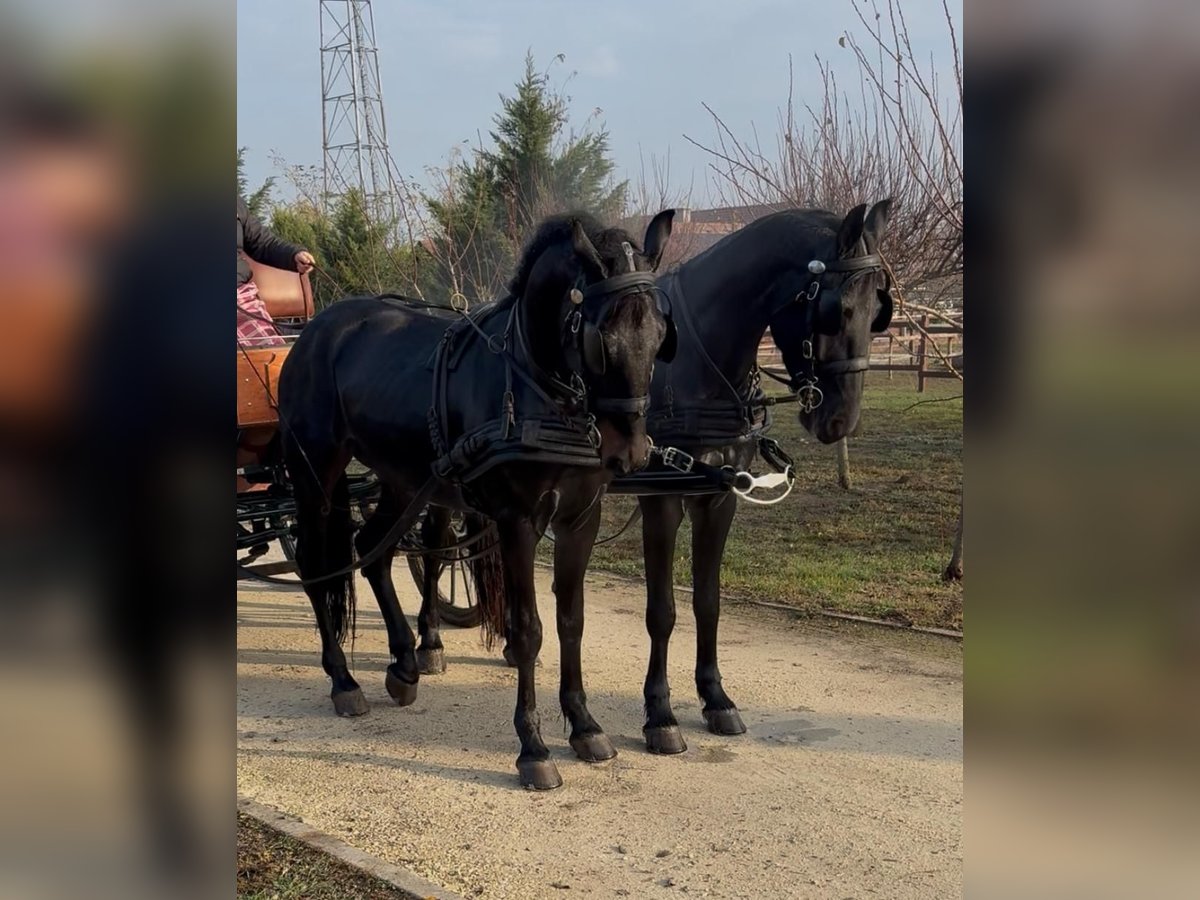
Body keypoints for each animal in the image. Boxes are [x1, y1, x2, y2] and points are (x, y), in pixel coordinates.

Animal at [277, 210, 677, 789]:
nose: (632, 453)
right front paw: (533, 747)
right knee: (317, 565)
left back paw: (404, 662)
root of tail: (316, 330)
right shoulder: (516, 520)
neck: (533, 385)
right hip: (316, 476)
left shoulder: (581, 517)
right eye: (602, 338)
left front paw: (583, 725)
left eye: (661, 334)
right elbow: (528, 629)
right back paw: (344, 680)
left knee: (374, 548)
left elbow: (571, 621)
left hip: (403, 476)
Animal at [635, 200, 894, 754]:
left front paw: (716, 698)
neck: (693, 365)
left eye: (878, 312)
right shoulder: (661, 497)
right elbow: (662, 609)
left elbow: (708, 602)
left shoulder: (719, 497)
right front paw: (660, 714)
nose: (839, 422)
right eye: (836, 310)